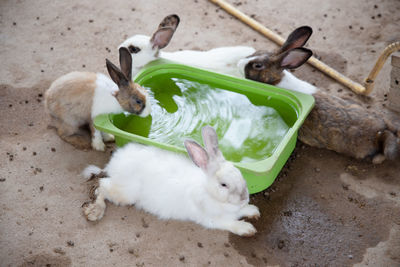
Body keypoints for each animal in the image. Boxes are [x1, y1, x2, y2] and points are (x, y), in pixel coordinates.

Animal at [83, 125, 260, 237]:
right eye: (224, 185)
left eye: (240, 174)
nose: (244, 197)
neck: (209, 192)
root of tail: (114, 163)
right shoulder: (212, 220)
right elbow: (230, 224)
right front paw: (247, 229)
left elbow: (243, 211)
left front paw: (253, 211)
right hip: (125, 193)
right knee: (101, 186)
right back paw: (95, 211)